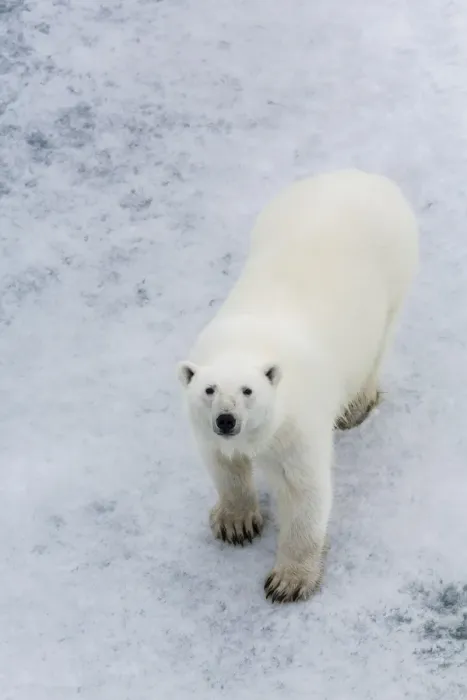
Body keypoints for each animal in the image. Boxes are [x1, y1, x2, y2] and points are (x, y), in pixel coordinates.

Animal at [177, 169, 419, 603]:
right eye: (209, 390)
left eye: (248, 391)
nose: (226, 420)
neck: (246, 342)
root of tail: (361, 174)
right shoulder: (206, 428)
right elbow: (223, 464)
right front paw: (235, 523)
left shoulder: (296, 423)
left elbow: (303, 492)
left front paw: (288, 581)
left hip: (395, 269)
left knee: (380, 340)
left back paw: (356, 408)